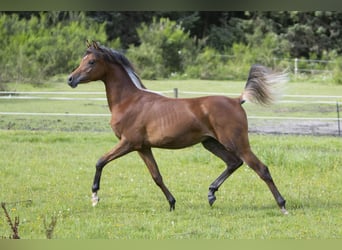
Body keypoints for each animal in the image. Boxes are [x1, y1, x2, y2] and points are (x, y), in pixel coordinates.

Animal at [67, 41, 288, 215]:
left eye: (91, 62)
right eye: (82, 60)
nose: (70, 79)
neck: (129, 101)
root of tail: (236, 100)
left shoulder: (128, 143)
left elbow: (100, 161)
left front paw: (95, 196)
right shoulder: (143, 147)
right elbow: (156, 176)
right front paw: (172, 203)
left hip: (236, 143)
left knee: (261, 168)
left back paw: (282, 205)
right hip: (210, 143)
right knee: (234, 163)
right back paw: (211, 194)